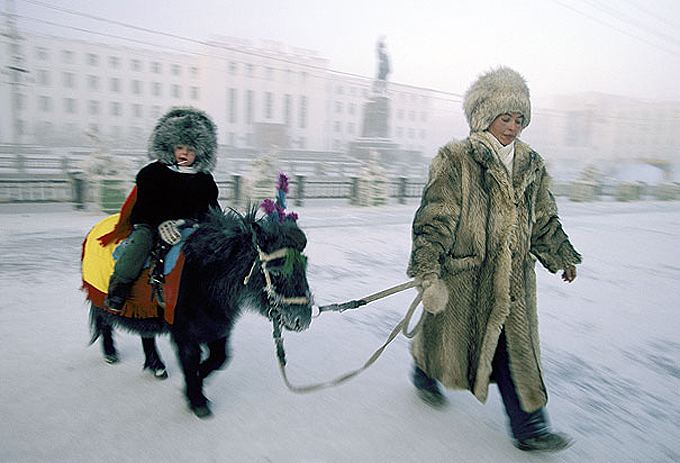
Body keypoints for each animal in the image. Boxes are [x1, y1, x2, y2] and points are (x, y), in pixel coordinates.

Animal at [87, 207, 314, 416]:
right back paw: (111, 353)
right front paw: (197, 400)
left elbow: (220, 359)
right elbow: (191, 361)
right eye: (276, 271)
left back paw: (156, 366)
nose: (302, 319)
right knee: (105, 323)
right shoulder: (185, 333)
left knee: (146, 335)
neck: (203, 274)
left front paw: (198, 381)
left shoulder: (217, 327)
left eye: (303, 267)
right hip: (103, 301)